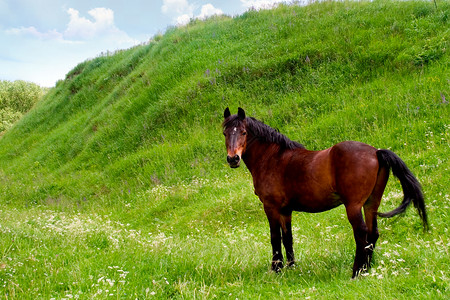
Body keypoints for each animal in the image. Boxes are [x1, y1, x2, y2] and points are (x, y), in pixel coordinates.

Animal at [223, 106, 428, 278]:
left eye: (243, 132)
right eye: (225, 133)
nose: (233, 159)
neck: (272, 158)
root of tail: (375, 152)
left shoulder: (271, 207)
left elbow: (275, 238)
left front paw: (276, 269)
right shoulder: (286, 210)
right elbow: (287, 237)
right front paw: (291, 267)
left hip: (353, 206)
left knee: (361, 234)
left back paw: (356, 271)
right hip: (371, 203)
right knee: (373, 233)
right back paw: (366, 269)